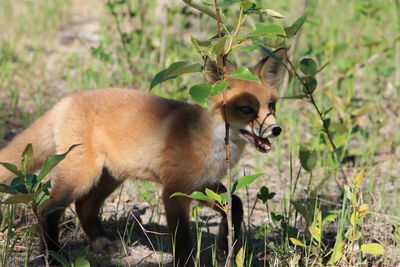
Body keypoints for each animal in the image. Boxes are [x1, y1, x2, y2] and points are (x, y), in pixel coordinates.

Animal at [0, 48, 288, 266]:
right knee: (48, 209)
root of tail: (66, 100)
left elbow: (235, 204)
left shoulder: (202, 185)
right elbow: (183, 241)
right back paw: (53, 255)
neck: (209, 140)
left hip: (110, 176)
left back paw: (103, 243)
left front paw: (224, 248)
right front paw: (189, 261)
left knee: (84, 206)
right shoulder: (174, 190)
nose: (276, 130)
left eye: (271, 106)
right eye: (246, 109)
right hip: (83, 174)